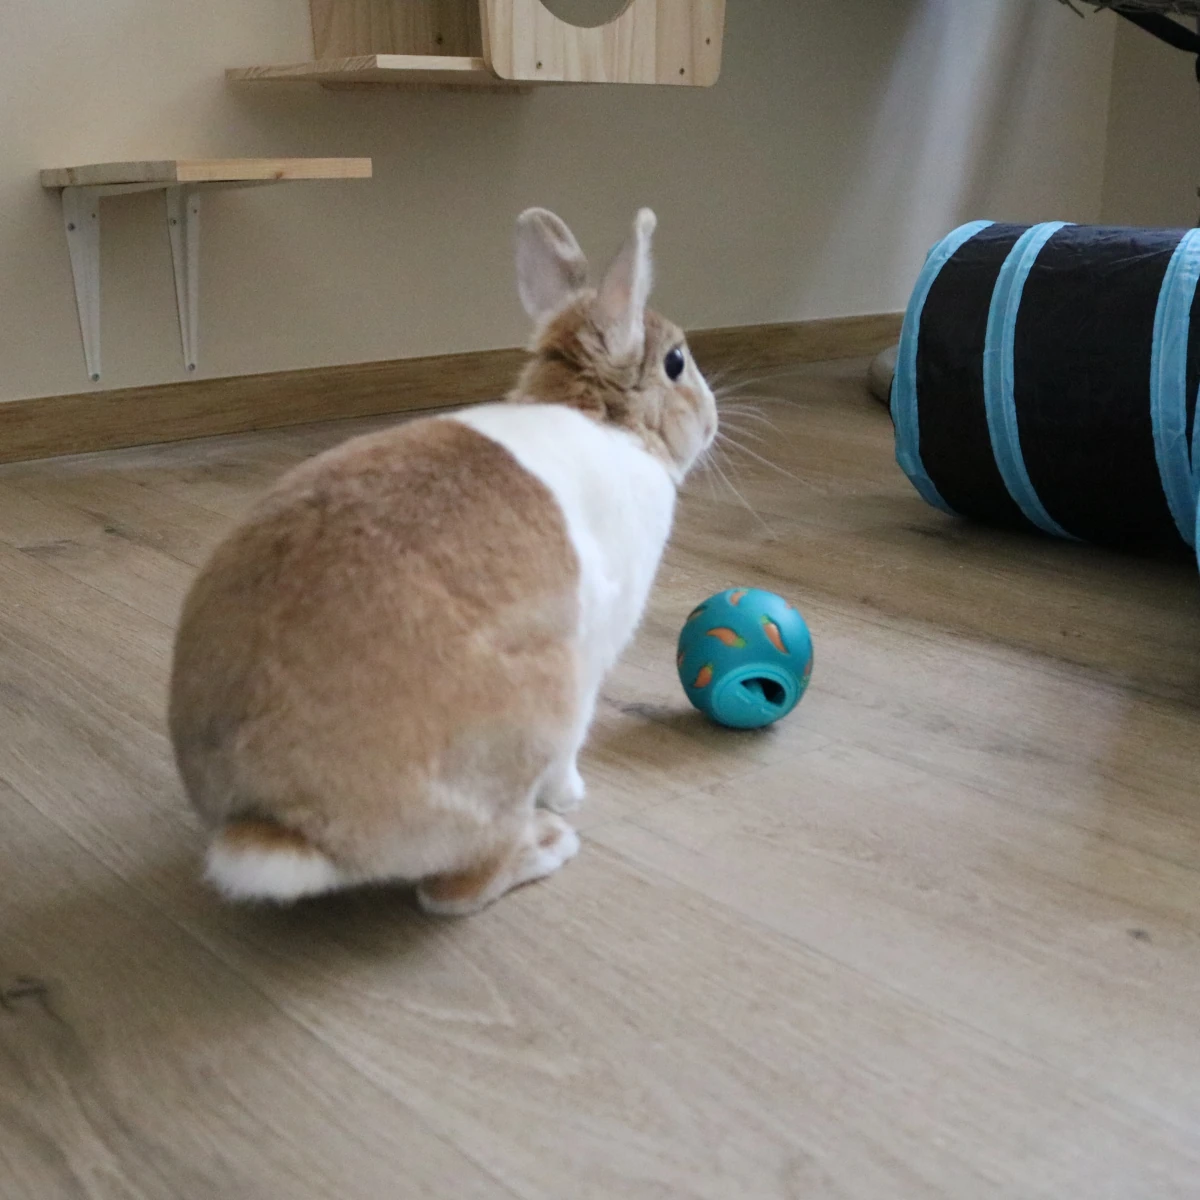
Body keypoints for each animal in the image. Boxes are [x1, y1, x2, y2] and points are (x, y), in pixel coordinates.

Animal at [168, 207, 718, 915]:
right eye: (676, 362)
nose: (712, 421)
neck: (604, 420)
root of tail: (280, 824)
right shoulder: (592, 656)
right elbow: (574, 748)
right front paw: (572, 796)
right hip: (538, 705)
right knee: (452, 890)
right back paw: (547, 843)